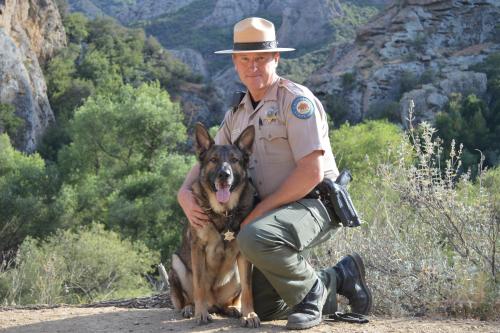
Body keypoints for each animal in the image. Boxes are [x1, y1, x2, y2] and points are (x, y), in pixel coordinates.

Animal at [169, 122, 262, 326]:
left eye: (235, 160)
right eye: (213, 159)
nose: (223, 175)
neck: (224, 212)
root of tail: (215, 303)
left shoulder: (243, 257)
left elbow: (248, 290)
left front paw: (249, 314)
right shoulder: (198, 248)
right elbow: (199, 285)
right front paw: (201, 313)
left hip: (235, 275)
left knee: (230, 300)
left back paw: (233, 308)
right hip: (176, 263)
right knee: (187, 298)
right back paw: (191, 308)